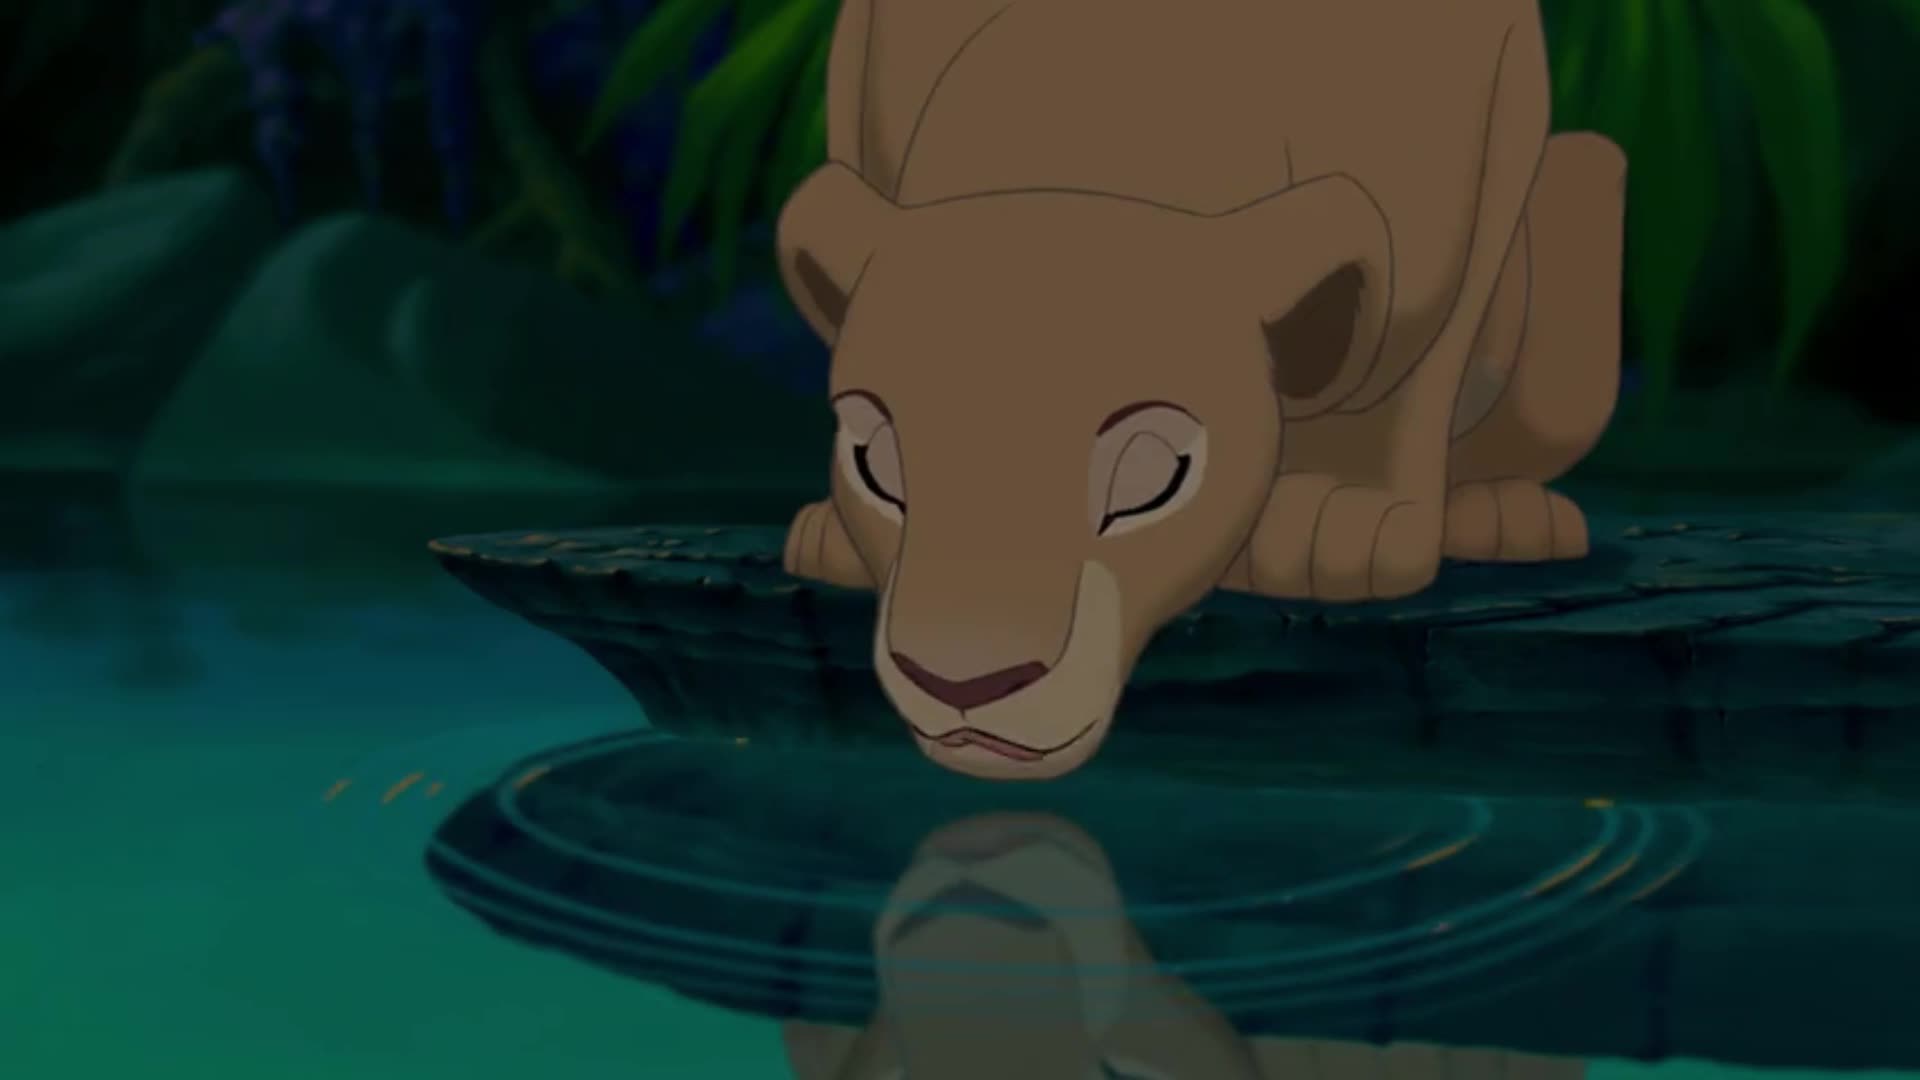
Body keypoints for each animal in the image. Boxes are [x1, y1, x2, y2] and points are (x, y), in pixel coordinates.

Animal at [775, 0, 1625, 780]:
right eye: (874, 460)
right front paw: (833, 537)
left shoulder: (1494, 93)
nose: (962, 683)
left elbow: (1419, 371)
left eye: (1150, 476)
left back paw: (1506, 518)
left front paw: (1339, 520)